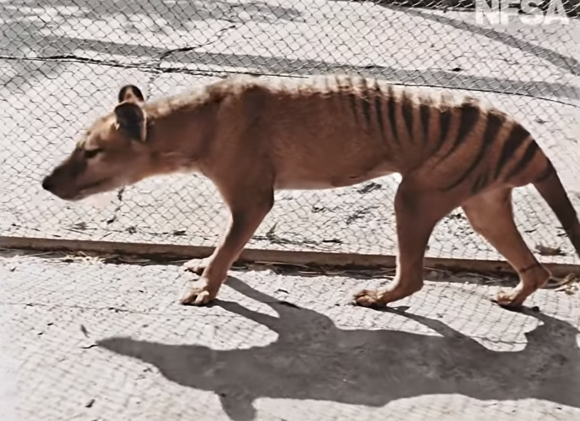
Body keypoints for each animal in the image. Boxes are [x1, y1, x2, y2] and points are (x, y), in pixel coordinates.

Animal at [41, 74, 580, 308]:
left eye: (91, 152)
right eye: (79, 146)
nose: (46, 182)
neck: (203, 120)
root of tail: (524, 137)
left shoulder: (253, 199)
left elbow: (227, 251)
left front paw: (207, 288)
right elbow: (224, 248)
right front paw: (203, 270)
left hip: (414, 198)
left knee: (413, 278)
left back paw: (379, 297)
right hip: (481, 206)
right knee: (537, 269)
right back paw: (515, 297)